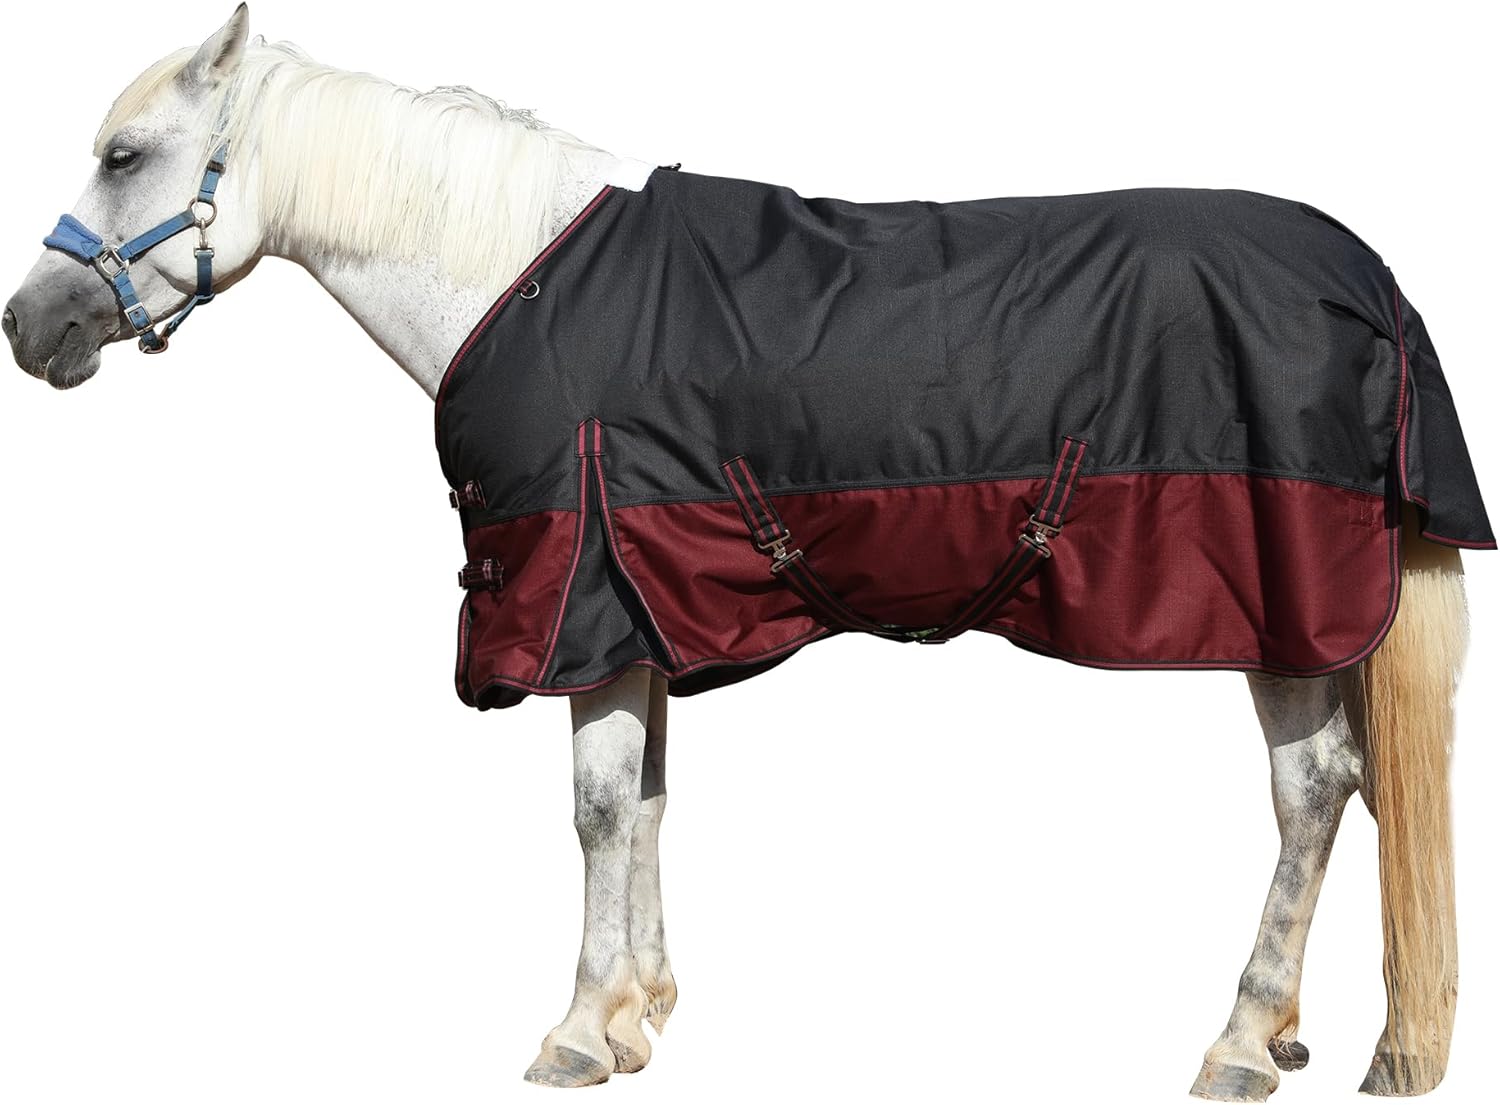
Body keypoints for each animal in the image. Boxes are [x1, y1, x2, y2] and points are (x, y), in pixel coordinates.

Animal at [3, 6, 1486, 1097]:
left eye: (126, 155)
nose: (32, 327)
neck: (513, 276)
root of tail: (1370, 284)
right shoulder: (646, 606)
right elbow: (652, 798)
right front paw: (641, 1014)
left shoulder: (580, 601)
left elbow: (598, 809)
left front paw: (575, 1033)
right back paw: (1294, 1031)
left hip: (1282, 611)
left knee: (1311, 791)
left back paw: (1239, 1040)